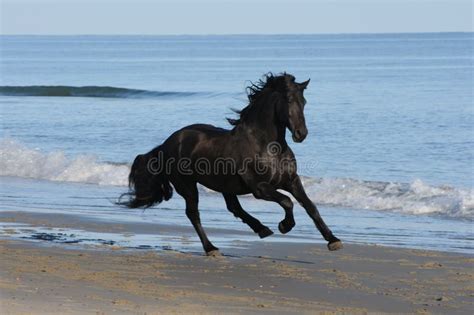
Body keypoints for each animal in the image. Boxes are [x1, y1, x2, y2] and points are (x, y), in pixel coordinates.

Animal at [118, 74, 340, 256]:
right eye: (288, 100)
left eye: (304, 101)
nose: (301, 134)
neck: (267, 146)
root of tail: (166, 144)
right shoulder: (260, 188)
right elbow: (287, 202)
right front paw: (285, 226)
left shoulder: (292, 181)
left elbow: (310, 207)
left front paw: (333, 240)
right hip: (188, 186)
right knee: (194, 214)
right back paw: (212, 248)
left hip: (225, 185)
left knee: (233, 207)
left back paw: (262, 229)